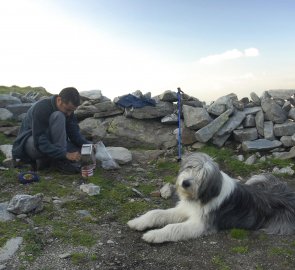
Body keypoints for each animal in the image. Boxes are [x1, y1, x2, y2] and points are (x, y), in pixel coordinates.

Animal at [128, 153, 295, 244]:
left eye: (202, 176)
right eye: (190, 167)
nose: (185, 183)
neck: (204, 196)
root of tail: (288, 193)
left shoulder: (201, 223)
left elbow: (173, 227)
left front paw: (153, 235)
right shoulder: (185, 209)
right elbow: (156, 213)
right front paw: (137, 222)